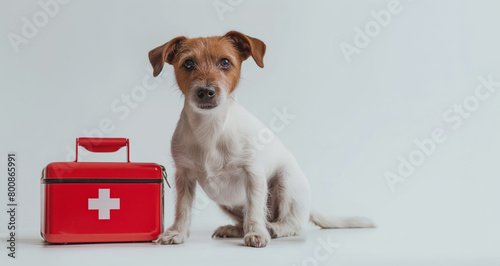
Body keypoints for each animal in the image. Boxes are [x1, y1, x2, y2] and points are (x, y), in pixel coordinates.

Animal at [146, 31, 374, 247]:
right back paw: (235, 229)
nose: (206, 91)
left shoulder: (253, 174)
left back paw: (274, 228)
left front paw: (256, 233)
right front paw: (177, 232)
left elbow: (255, 209)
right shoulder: (183, 176)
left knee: (293, 224)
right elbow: (182, 208)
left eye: (225, 62)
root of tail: (308, 206)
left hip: (285, 181)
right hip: (227, 203)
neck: (210, 129)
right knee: (247, 219)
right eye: (188, 63)